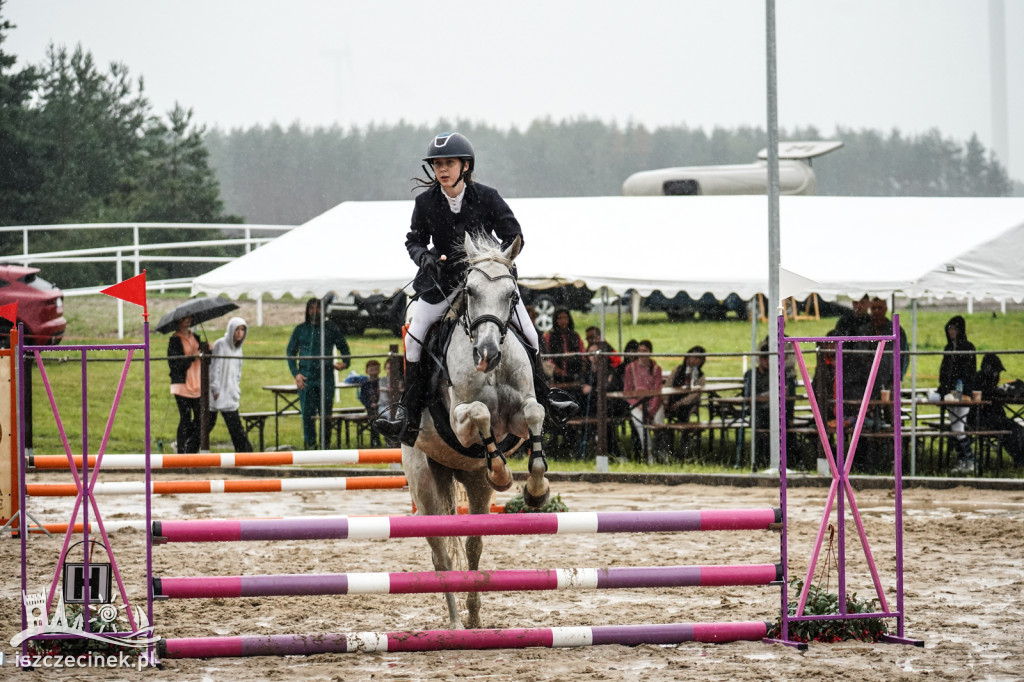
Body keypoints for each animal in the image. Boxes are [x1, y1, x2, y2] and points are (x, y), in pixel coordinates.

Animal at [401, 232, 552, 626]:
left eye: (512, 295)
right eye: (468, 291)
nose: (486, 355)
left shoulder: (516, 419)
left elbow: (535, 412)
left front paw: (536, 490)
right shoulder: (459, 423)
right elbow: (481, 413)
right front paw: (501, 471)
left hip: (473, 483)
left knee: (473, 546)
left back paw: (474, 620)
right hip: (425, 484)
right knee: (441, 555)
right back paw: (456, 624)